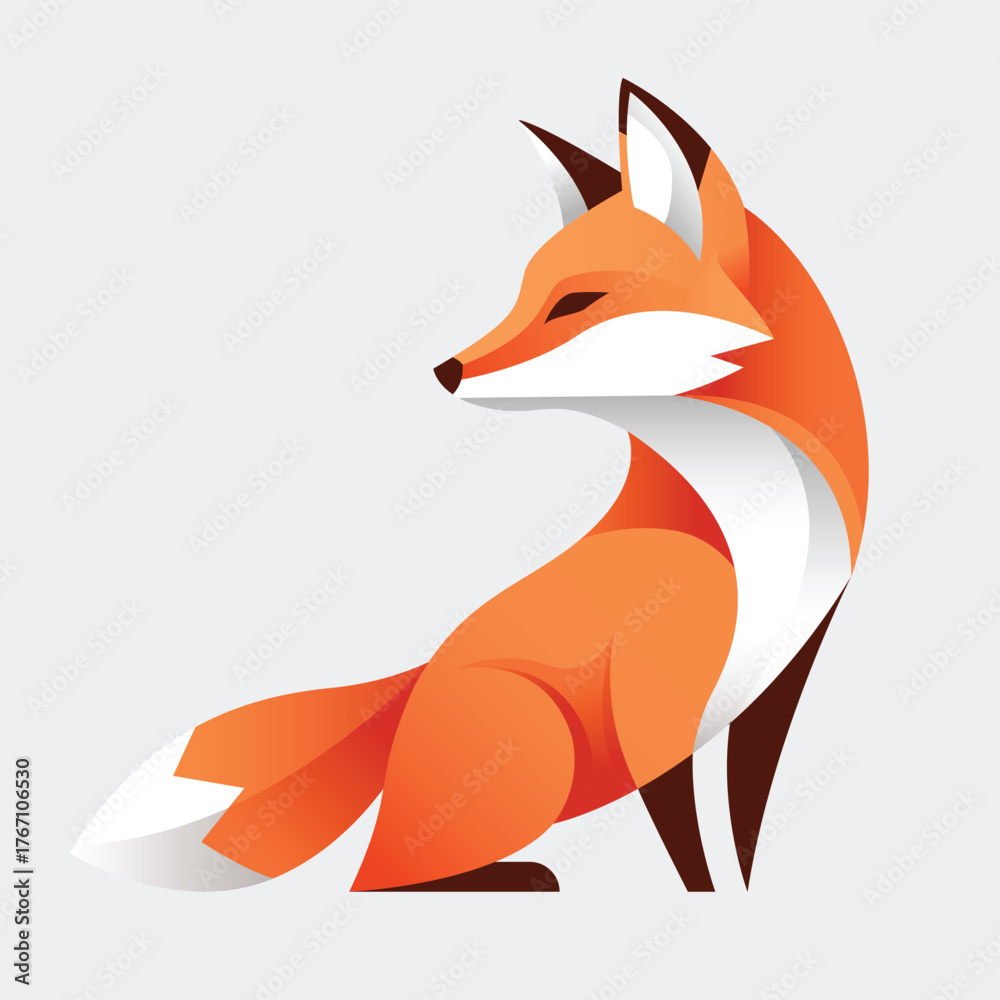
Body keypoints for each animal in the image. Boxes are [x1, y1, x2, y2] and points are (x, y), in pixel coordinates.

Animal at [72, 79, 868, 893]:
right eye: (521, 293)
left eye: (574, 302)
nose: (446, 370)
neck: (760, 515)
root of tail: (412, 687)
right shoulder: (652, 705)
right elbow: (692, 848)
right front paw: (707, 899)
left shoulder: (781, 682)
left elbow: (741, 830)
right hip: (536, 744)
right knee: (375, 876)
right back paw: (516, 876)